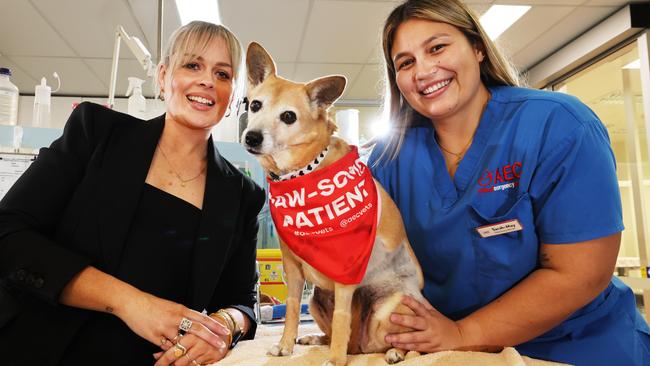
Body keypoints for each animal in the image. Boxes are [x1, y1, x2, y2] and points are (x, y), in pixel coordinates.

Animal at [240, 43, 422, 366]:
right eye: (255, 105)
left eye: (288, 116)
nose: (251, 137)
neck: (302, 173)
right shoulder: (293, 269)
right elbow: (291, 309)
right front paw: (285, 347)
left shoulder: (346, 272)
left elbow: (341, 317)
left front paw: (336, 360)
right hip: (316, 299)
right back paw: (314, 338)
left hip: (388, 307)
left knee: (401, 342)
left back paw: (393, 352)